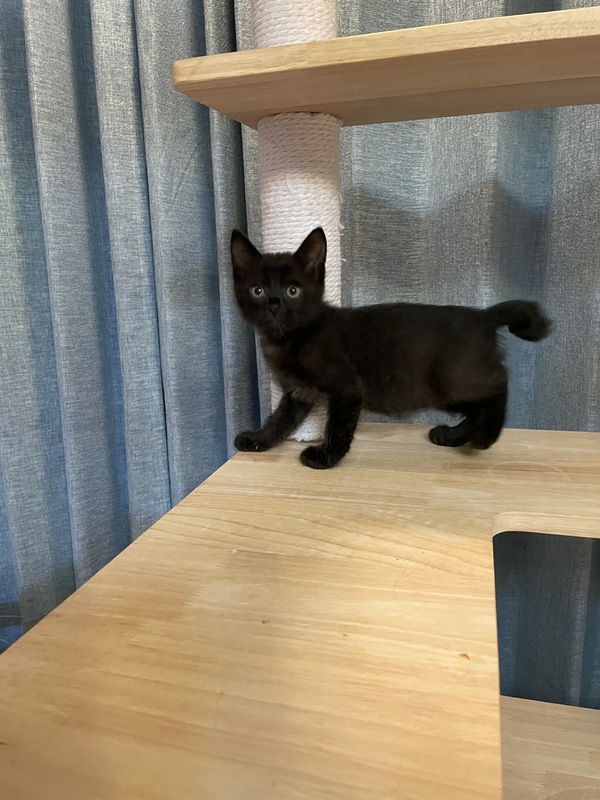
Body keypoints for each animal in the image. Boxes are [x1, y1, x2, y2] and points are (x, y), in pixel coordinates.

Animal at [231, 227, 551, 469]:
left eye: (292, 290)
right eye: (257, 290)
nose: (274, 305)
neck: (289, 338)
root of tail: (483, 316)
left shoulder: (347, 387)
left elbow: (338, 426)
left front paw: (325, 458)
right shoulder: (298, 392)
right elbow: (280, 420)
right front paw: (259, 440)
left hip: (455, 379)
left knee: (499, 384)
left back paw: (486, 436)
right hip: (444, 391)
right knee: (477, 407)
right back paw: (454, 437)